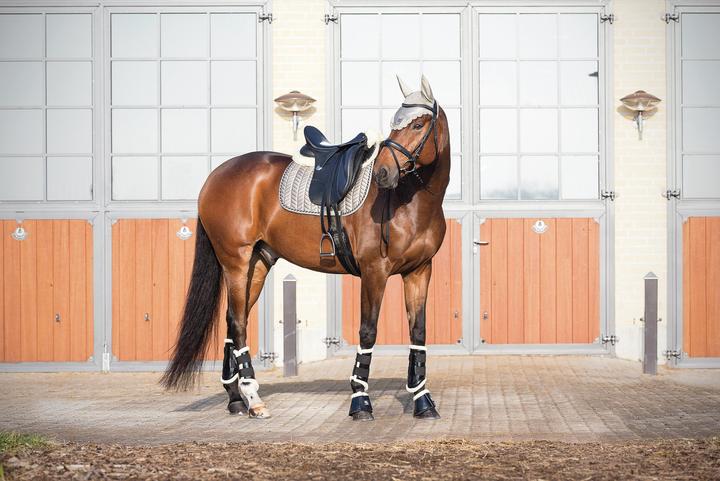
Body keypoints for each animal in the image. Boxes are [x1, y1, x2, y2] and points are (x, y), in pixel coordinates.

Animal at [161, 75, 451, 421]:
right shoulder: (374, 272)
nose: (383, 174)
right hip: (235, 261)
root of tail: (214, 177)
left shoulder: (419, 271)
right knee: (238, 323)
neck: (409, 202)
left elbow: (418, 332)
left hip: (257, 264)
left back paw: (236, 399)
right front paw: (360, 401)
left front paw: (423, 401)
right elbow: (367, 331)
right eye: (394, 124)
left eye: (418, 124)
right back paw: (254, 400)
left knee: (235, 320)